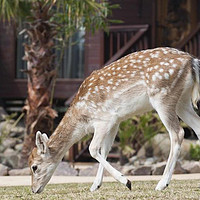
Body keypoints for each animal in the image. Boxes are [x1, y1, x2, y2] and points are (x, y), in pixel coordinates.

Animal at [28, 47, 200, 194]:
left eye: (34, 167)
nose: (34, 190)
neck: (82, 119)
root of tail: (191, 60)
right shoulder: (115, 122)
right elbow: (105, 150)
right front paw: (95, 186)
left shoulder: (104, 120)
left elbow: (93, 149)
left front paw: (127, 182)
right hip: (182, 101)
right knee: (197, 126)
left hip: (162, 95)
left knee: (178, 133)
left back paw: (162, 183)